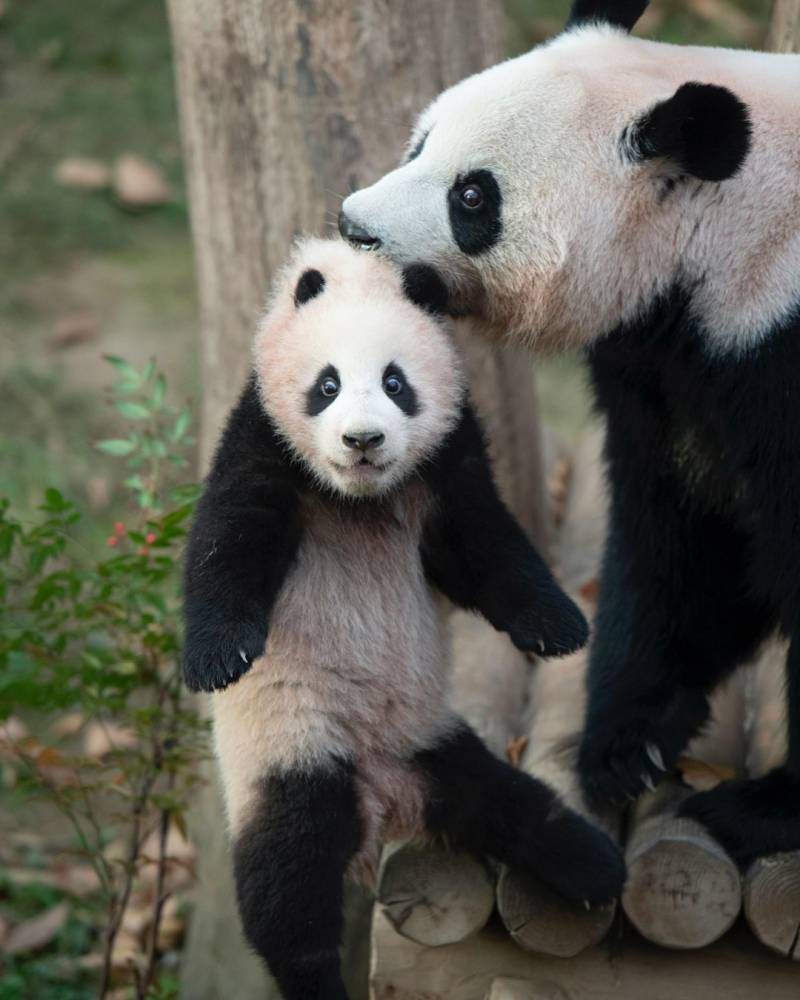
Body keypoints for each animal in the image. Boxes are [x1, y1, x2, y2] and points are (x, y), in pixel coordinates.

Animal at [183, 240, 624, 1000]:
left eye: (396, 382)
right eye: (326, 385)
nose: (363, 440)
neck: (359, 497)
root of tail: (384, 801)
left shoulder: (447, 456)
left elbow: (482, 545)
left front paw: (560, 626)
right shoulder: (263, 438)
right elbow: (228, 541)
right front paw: (215, 659)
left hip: (434, 744)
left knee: (507, 804)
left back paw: (593, 863)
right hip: (294, 748)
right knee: (288, 881)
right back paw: (314, 979)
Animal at [340, 0, 800, 868]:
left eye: (474, 196)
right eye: (421, 141)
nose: (352, 227)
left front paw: (761, 811)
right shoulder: (677, 369)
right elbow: (687, 539)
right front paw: (626, 741)